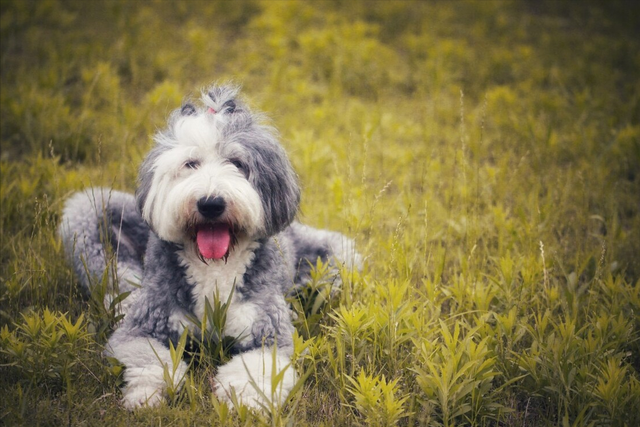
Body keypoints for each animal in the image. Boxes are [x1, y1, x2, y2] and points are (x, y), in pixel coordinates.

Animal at [58, 84, 360, 412]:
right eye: (191, 163)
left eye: (237, 163)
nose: (211, 203)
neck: (214, 268)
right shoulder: (141, 328)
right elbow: (148, 358)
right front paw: (145, 395)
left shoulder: (268, 332)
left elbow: (257, 367)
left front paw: (245, 399)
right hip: (87, 218)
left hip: (338, 261)